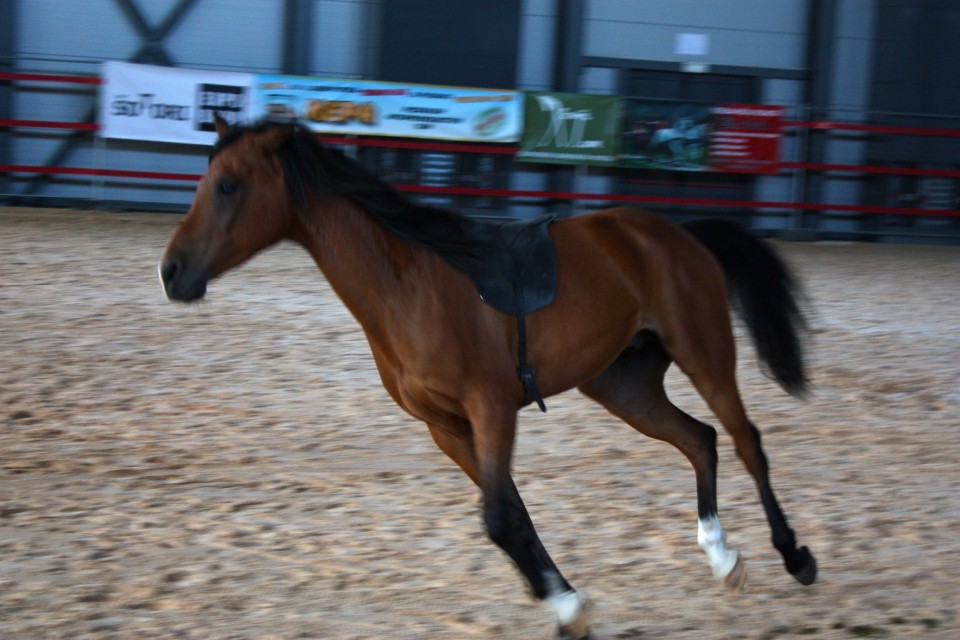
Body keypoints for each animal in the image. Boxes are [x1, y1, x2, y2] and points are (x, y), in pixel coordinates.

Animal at [159, 116, 816, 640]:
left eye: (227, 185)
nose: (172, 272)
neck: (407, 282)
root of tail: (678, 234)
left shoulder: (491, 407)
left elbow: (499, 518)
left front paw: (569, 608)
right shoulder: (446, 427)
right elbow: (512, 516)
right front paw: (564, 604)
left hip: (705, 352)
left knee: (745, 442)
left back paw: (794, 555)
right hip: (622, 384)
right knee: (699, 440)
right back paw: (723, 559)